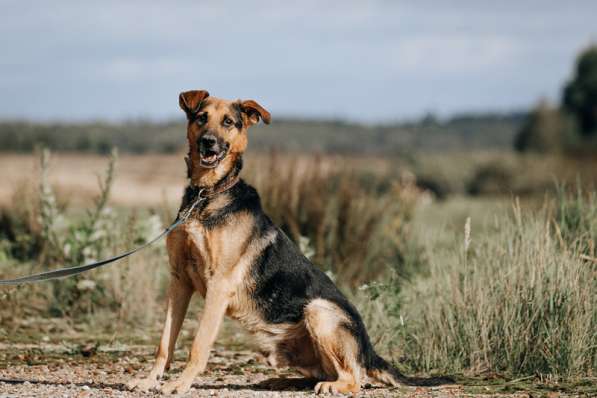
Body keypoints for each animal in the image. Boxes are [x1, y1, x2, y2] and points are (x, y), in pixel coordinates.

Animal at [127, 90, 406, 394]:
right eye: (201, 118)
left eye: (228, 122)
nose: (208, 141)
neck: (206, 195)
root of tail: (369, 351)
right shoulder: (179, 280)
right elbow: (165, 343)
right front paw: (149, 380)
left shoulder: (218, 284)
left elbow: (198, 345)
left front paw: (180, 384)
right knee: (324, 372)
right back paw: (282, 380)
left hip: (318, 311)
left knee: (354, 377)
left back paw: (332, 386)